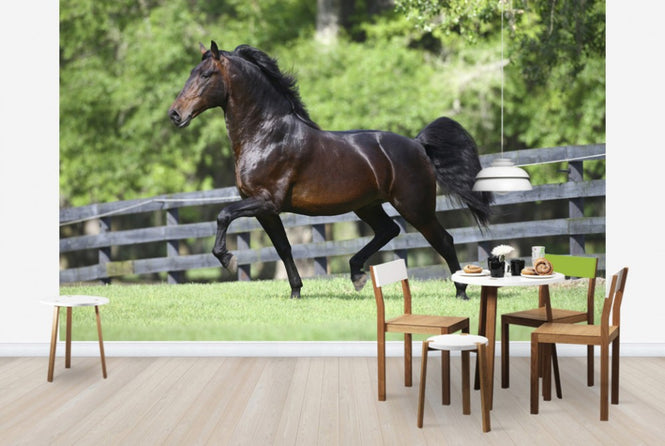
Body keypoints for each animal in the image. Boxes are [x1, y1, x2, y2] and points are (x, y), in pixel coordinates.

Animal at [169, 41, 492, 300]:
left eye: (205, 75)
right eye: (190, 74)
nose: (175, 114)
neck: (266, 135)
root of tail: (417, 144)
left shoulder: (266, 201)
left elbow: (223, 215)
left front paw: (228, 259)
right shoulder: (264, 209)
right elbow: (283, 247)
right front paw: (296, 292)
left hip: (415, 206)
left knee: (443, 240)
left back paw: (461, 292)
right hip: (368, 205)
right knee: (389, 230)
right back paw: (357, 274)